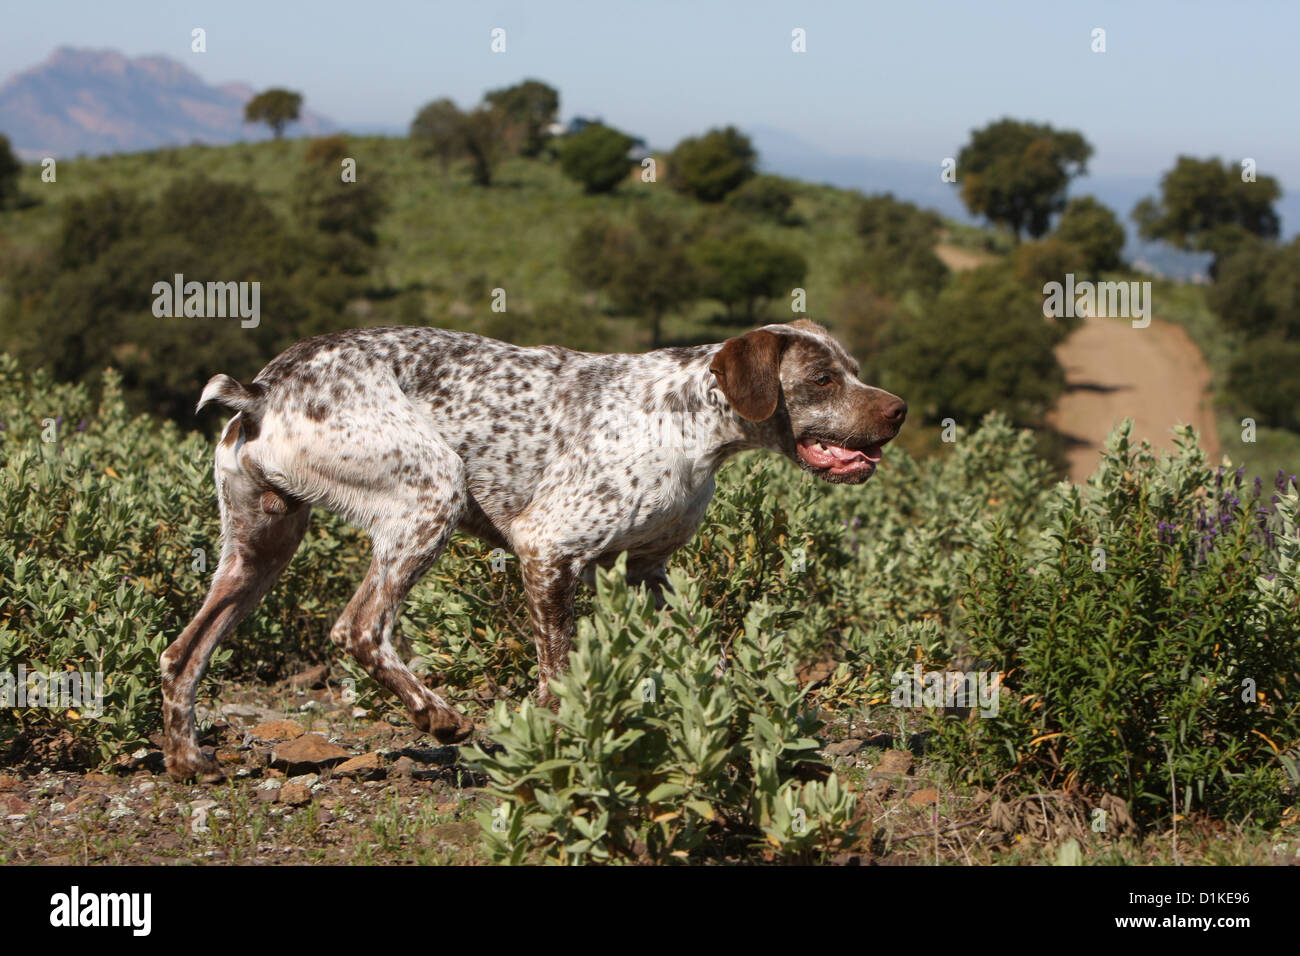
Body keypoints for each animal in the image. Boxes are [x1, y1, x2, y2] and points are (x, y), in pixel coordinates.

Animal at [162, 317, 904, 780]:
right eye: (822, 380)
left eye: (855, 370)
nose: (897, 410)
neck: (691, 421)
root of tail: (263, 389)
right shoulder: (548, 551)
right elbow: (558, 673)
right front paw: (560, 748)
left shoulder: (648, 571)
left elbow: (704, 659)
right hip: (431, 494)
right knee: (360, 629)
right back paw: (437, 716)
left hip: (259, 551)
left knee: (182, 655)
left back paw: (188, 761)